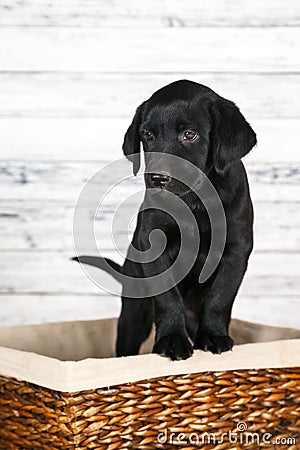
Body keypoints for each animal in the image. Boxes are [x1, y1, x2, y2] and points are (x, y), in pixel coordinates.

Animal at [74, 81, 255, 360]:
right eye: (148, 135)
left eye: (189, 135)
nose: (158, 178)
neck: (194, 200)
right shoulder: (154, 247)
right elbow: (167, 297)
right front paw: (172, 340)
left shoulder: (236, 250)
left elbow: (221, 296)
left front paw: (214, 335)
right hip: (134, 313)